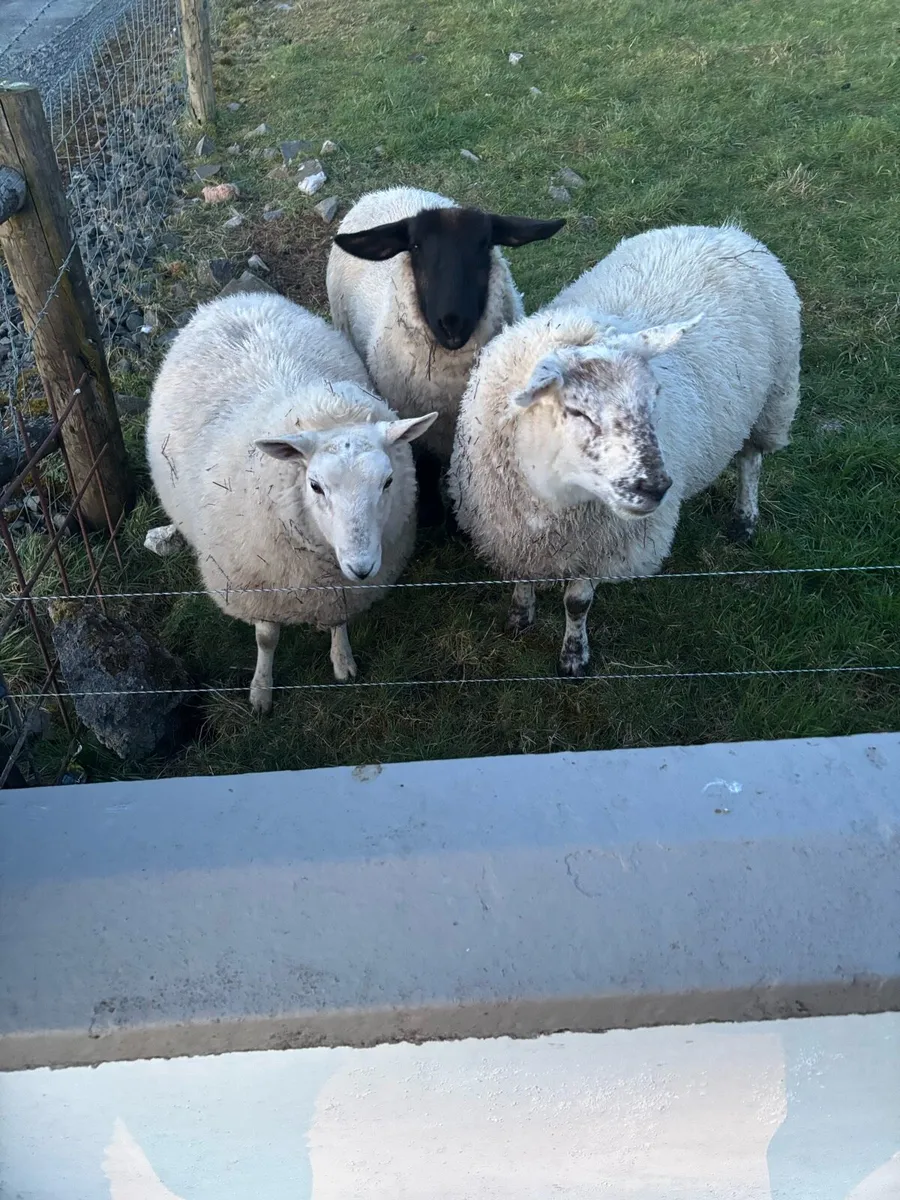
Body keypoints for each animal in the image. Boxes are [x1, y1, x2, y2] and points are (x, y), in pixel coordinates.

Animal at [147, 292, 436, 713]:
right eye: (315, 485)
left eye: (388, 482)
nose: (362, 567)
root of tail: (239, 298)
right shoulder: (258, 588)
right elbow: (266, 639)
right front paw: (261, 691)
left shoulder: (339, 591)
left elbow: (338, 622)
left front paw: (342, 660)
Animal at [448, 223, 801, 676]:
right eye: (577, 411)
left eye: (655, 396)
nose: (656, 487)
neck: (556, 503)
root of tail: (725, 231)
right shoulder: (507, 532)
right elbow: (520, 579)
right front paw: (520, 616)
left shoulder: (604, 547)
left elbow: (577, 602)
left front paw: (573, 656)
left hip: (773, 399)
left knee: (750, 460)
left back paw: (744, 518)